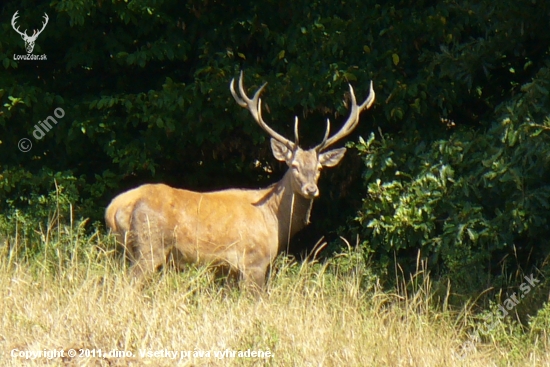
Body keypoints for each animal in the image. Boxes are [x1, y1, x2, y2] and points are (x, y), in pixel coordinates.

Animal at [104, 71, 376, 290]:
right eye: (294, 166)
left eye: (319, 168)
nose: (311, 189)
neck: (273, 219)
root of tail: (113, 208)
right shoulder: (254, 261)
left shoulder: (229, 271)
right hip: (149, 246)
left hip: (127, 250)